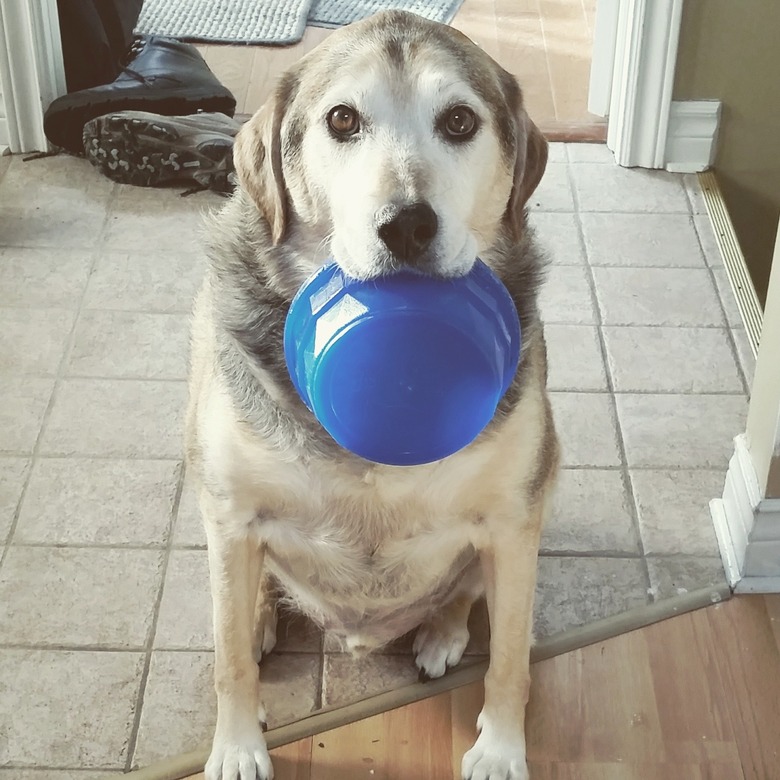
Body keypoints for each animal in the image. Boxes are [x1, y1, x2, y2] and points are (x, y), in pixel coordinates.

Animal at [186, 7, 556, 780]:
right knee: (245, 599)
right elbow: (231, 664)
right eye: (342, 119)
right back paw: (260, 617)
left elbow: (511, 656)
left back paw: (443, 632)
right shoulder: (231, 513)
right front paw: (236, 747)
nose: (407, 225)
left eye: (459, 121)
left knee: (466, 589)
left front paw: (502, 748)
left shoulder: (514, 520)